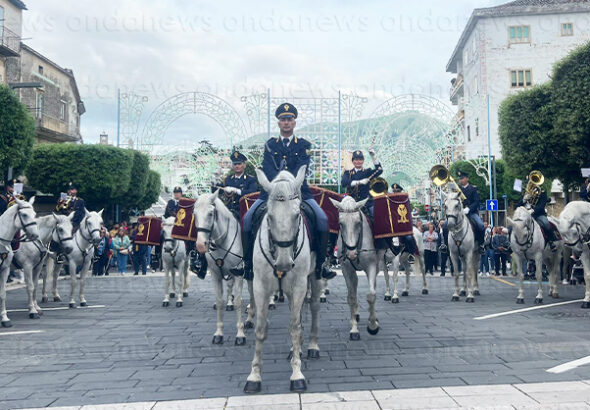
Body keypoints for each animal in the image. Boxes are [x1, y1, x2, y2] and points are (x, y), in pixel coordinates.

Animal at [0, 197, 39, 328]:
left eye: (34, 214)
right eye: (24, 214)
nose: (35, 235)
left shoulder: (5, 269)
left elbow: (2, 293)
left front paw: (5, 318)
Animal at [193, 191, 251, 344]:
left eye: (210, 213)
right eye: (195, 214)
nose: (200, 244)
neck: (222, 241)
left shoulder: (238, 274)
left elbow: (238, 301)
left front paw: (240, 334)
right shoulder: (215, 275)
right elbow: (219, 302)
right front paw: (219, 333)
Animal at [243, 167, 322, 394]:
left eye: (297, 215)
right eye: (269, 216)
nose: (285, 263)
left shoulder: (299, 286)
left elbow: (294, 328)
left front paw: (297, 375)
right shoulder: (260, 287)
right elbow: (261, 328)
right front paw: (254, 376)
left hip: (313, 279)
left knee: (313, 308)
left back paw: (311, 346)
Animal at [330, 195, 382, 340]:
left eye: (358, 223)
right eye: (340, 224)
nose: (351, 254)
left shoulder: (371, 266)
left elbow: (371, 295)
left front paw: (373, 326)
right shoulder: (346, 269)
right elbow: (352, 297)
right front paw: (354, 329)